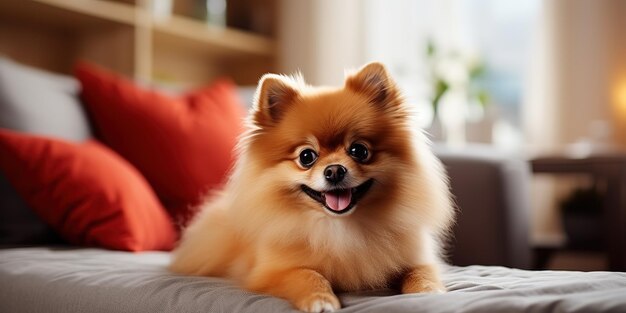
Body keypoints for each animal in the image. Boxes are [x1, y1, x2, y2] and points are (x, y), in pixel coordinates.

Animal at [169, 62, 454, 310]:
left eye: (359, 151)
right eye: (307, 157)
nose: (334, 170)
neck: (340, 229)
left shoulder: (417, 258)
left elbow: (420, 272)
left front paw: (429, 291)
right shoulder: (274, 271)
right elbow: (307, 275)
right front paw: (321, 300)